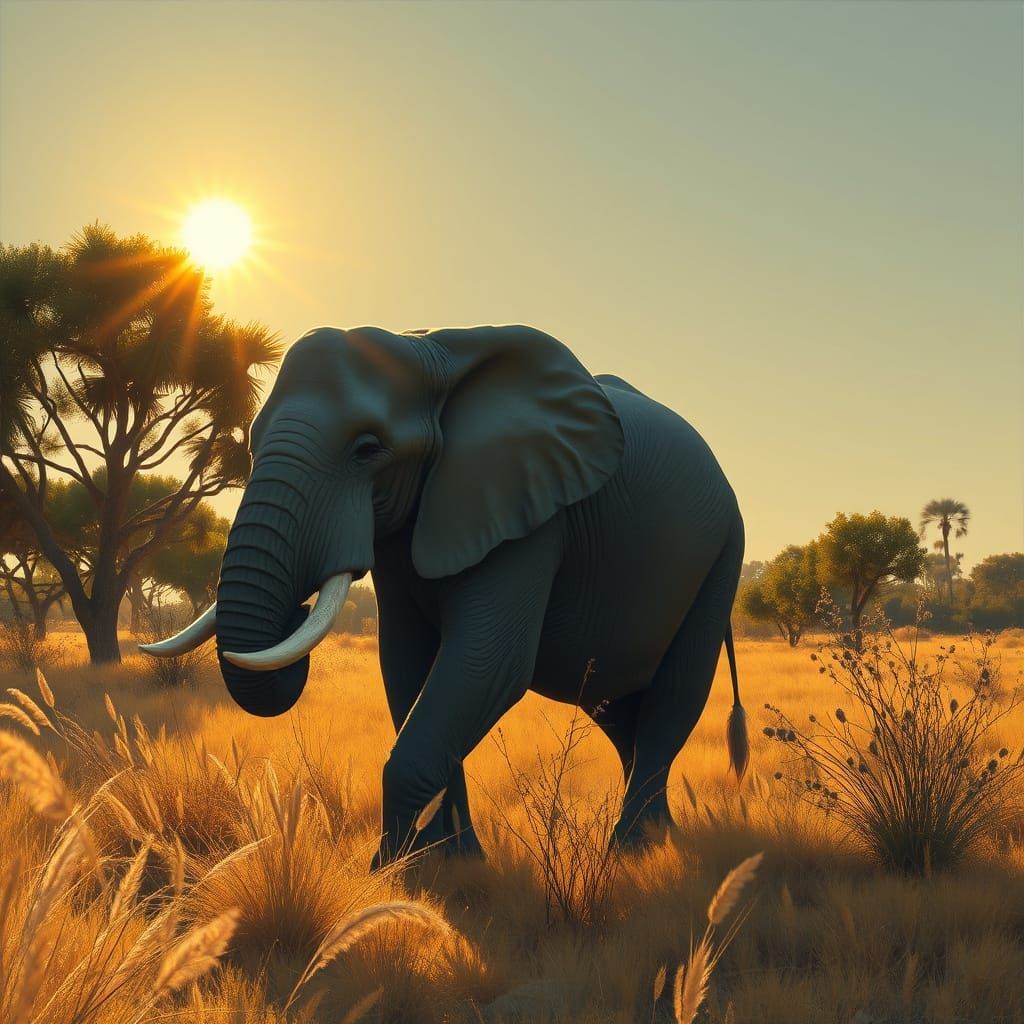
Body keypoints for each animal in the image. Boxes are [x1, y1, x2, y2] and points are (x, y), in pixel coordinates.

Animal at [143, 324, 749, 865]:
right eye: (251, 443)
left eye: (368, 449)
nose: (299, 605)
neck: (428, 350)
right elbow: (410, 666)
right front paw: (446, 861)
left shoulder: (528, 514)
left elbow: (485, 665)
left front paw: (389, 876)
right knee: (620, 712)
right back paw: (659, 837)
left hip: (724, 549)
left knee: (675, 695)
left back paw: (632, 851)